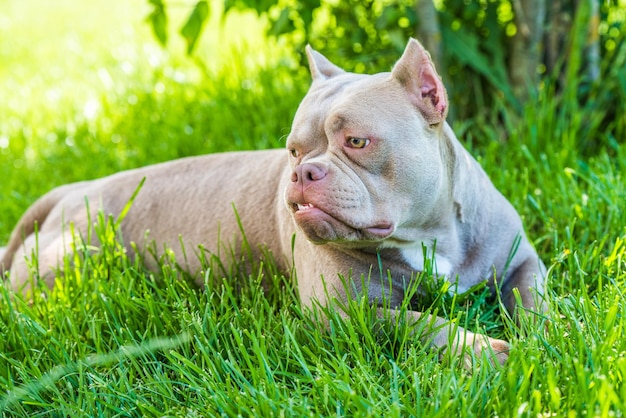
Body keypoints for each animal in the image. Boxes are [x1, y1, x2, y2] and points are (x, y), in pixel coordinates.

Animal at [0, 39, 544, 366]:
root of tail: (73, 189)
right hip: (67, 263)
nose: (304, 172)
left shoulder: (521, 259)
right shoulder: (344, 312)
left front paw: (548, 334)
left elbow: (533, 299)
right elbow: (421, 323)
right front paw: (486, 351)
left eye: (357, 142)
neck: (429, 234)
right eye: (294, 150)